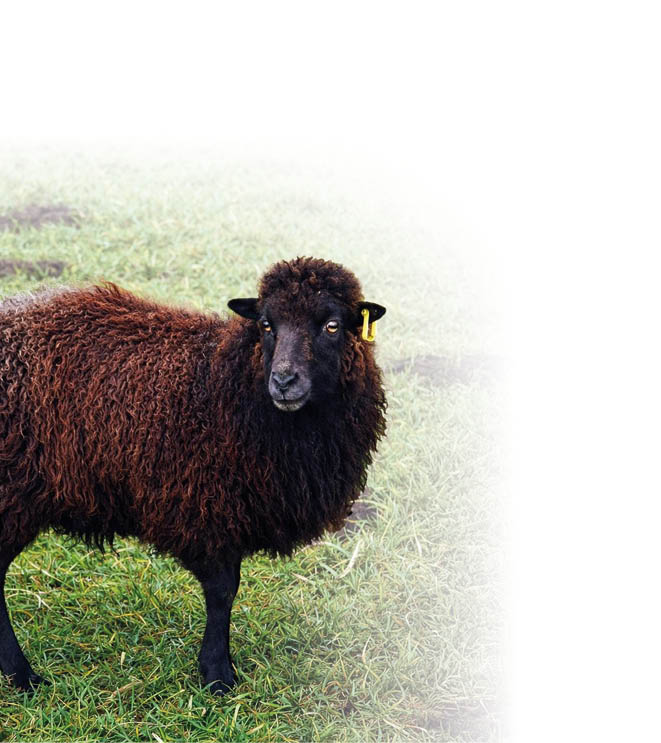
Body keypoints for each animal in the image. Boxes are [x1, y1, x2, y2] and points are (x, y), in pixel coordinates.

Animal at [0, 257, 387, 695]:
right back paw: (21, 674)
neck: (227, 382)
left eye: (333, 326)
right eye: (266, 324)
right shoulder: (207, 509)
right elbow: (222, 593)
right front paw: (217, 675)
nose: (284, 381)